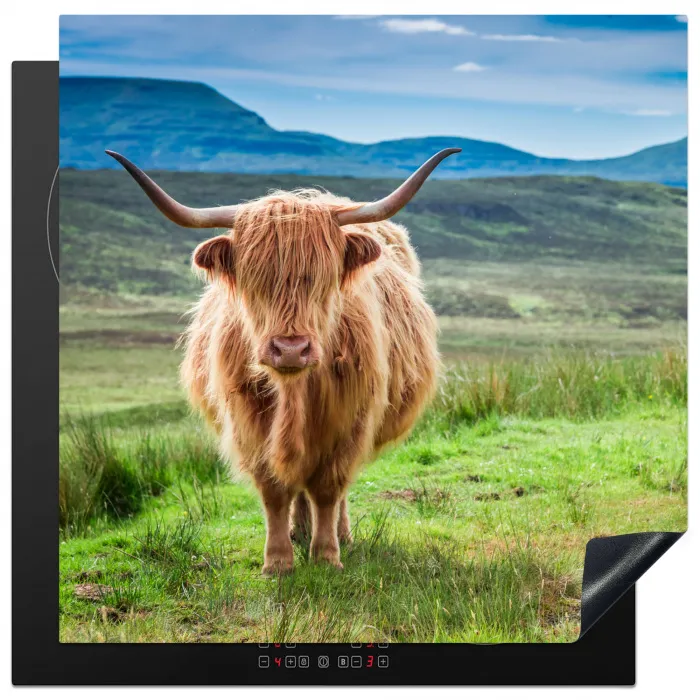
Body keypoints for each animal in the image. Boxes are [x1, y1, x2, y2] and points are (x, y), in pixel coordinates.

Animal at [106, 148, 459, 574]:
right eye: (254, 278)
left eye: (323, 278)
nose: (291, 349)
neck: (294, 391)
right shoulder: (249, 421)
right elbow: (274, 489)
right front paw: (278, 561)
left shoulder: (350, 420)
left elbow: (328, 488)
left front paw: (326, 556)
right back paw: (299, 530)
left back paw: (338, 534)